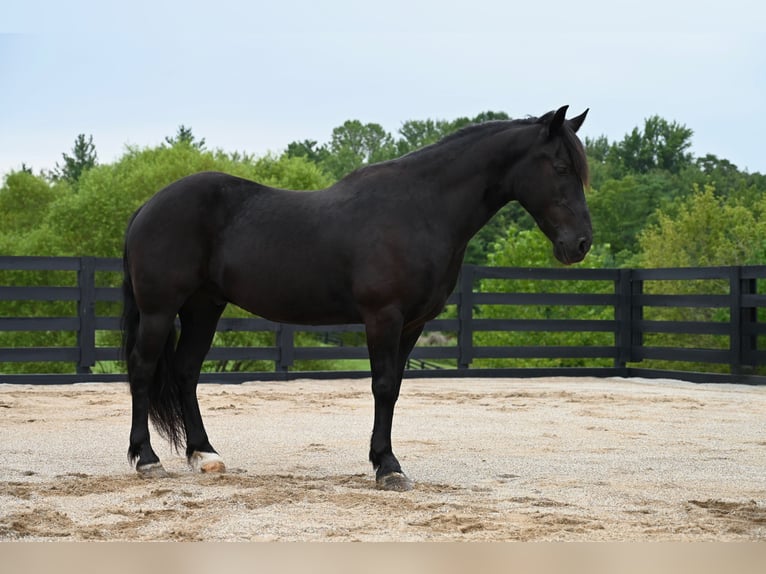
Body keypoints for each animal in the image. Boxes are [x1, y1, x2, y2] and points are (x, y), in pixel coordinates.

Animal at [121, 105, 592, 491]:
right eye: (560, 166)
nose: (581, 243)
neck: (420, 208)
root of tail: (147, 206)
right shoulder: (384, 317)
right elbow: (381, 386)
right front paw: (388, 468)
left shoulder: (412, 324)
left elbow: (395, 387)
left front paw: (384, 460)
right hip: (160, 310)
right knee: (143, 370)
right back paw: (147, 459)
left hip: (204, 307)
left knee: (185, 371)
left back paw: (205, 455)